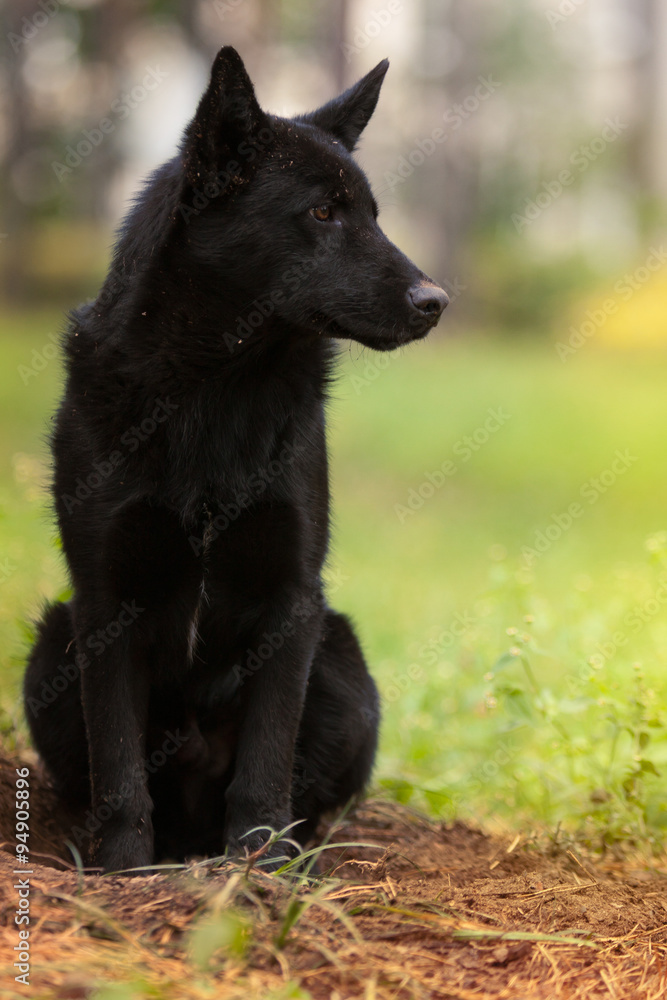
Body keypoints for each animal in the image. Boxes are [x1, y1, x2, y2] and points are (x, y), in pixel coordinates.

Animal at [24, 47, 448, 872]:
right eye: (322, 213)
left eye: (373, 215)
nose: (435, 301)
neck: (217, 387)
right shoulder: (103, 602)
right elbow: (120, 765)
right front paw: (127, 869)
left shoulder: (291, 599)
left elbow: (265, 759)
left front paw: (260, 869)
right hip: (50, 651)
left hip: (343, 662)